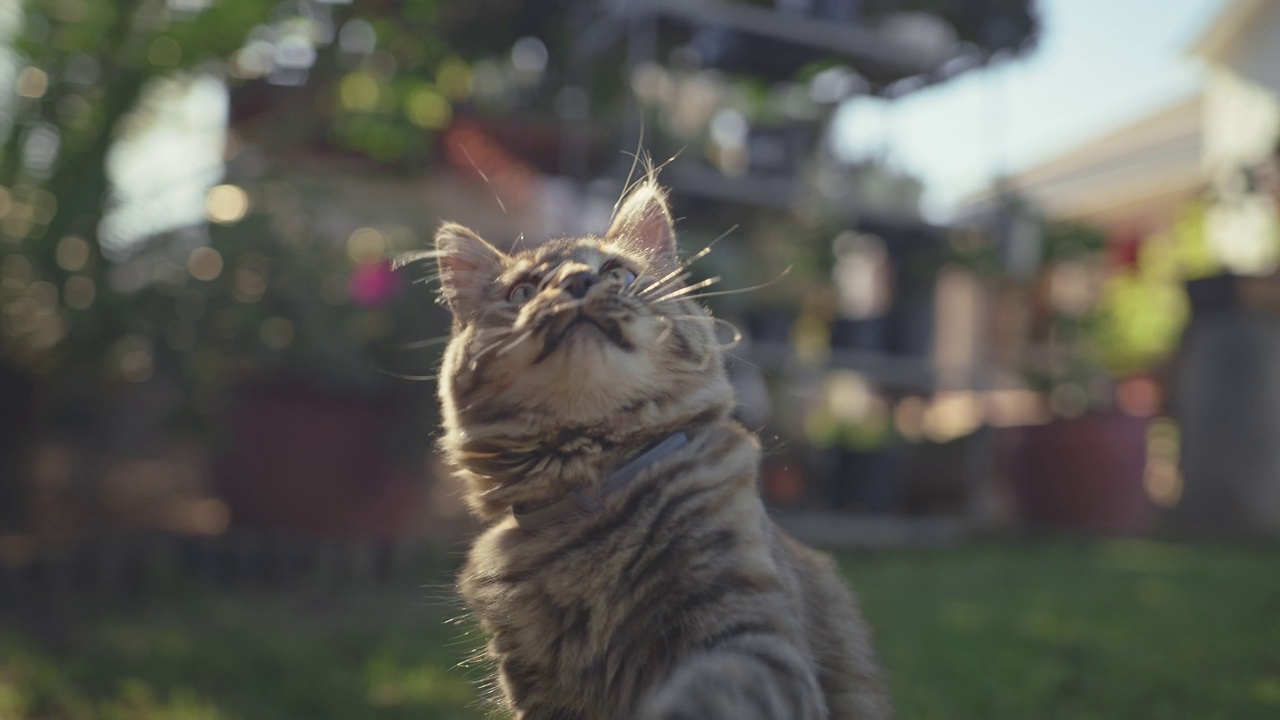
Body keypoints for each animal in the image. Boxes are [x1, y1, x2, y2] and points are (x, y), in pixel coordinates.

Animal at [432, 175, 890, 717]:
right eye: (523, 290)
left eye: (616, 273)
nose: (576, 282)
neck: (597, 499)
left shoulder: (749, 631)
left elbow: (710, 692)